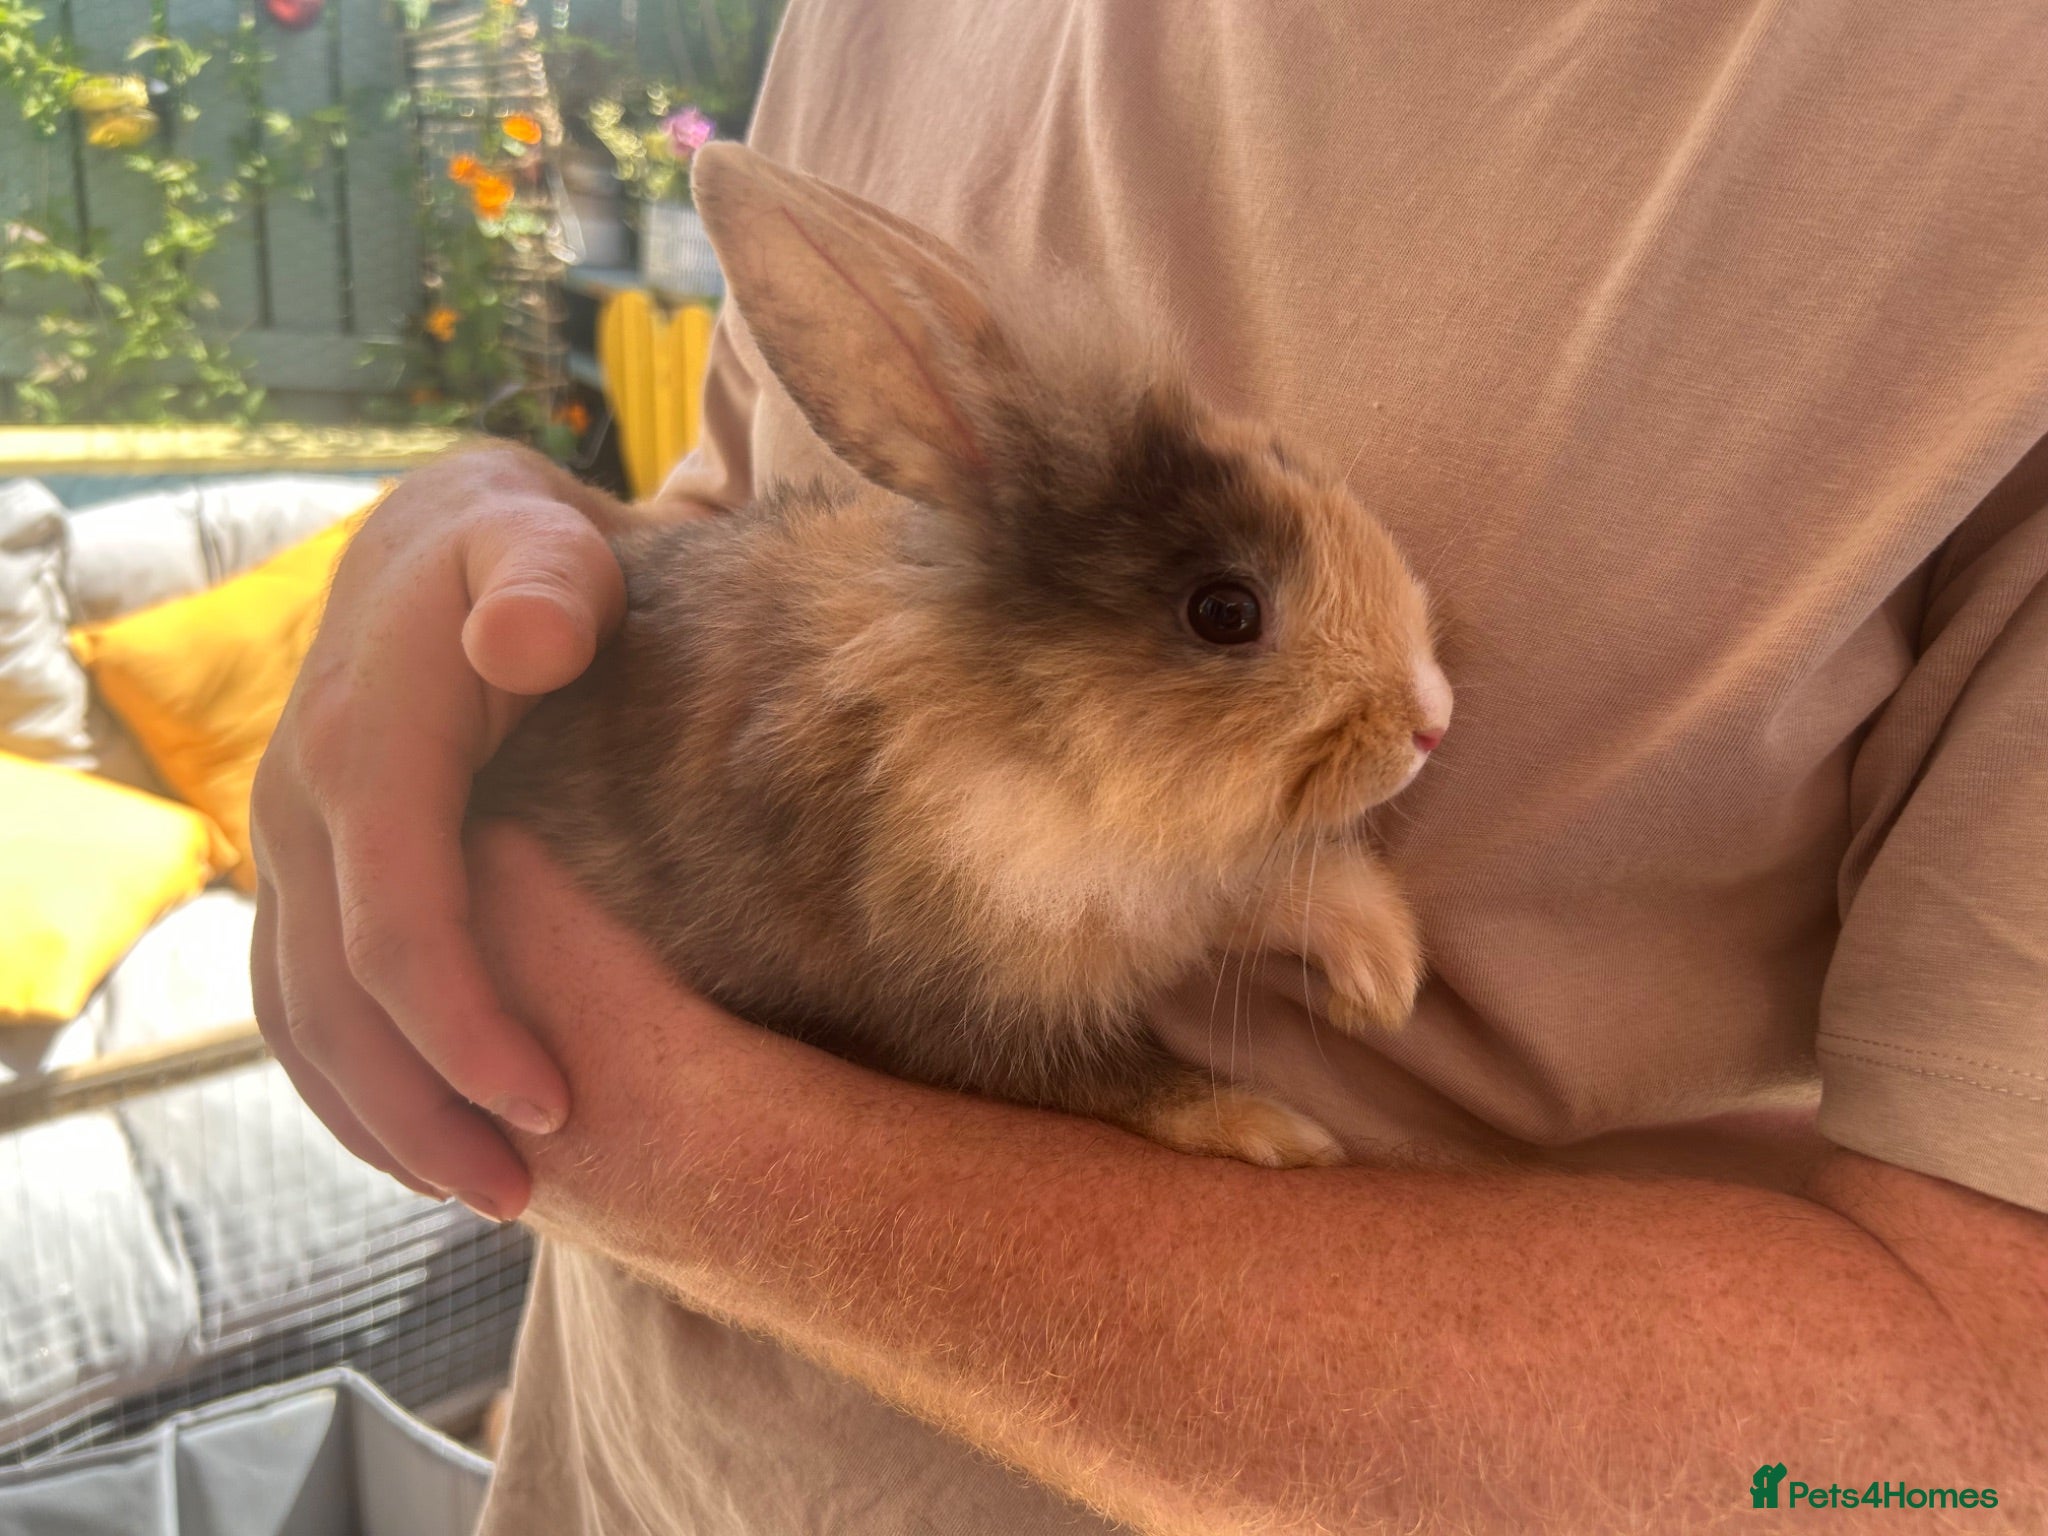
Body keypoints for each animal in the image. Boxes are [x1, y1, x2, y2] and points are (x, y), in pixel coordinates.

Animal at [472, 143, 1453, 1169]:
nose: (1433, 720)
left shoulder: (1205, 877)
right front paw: (1281, 1131)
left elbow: (1279, 888)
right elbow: (1130, 1083)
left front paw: (1379, 976)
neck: (1051, 757)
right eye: (1225, 611)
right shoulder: (964, 1015)